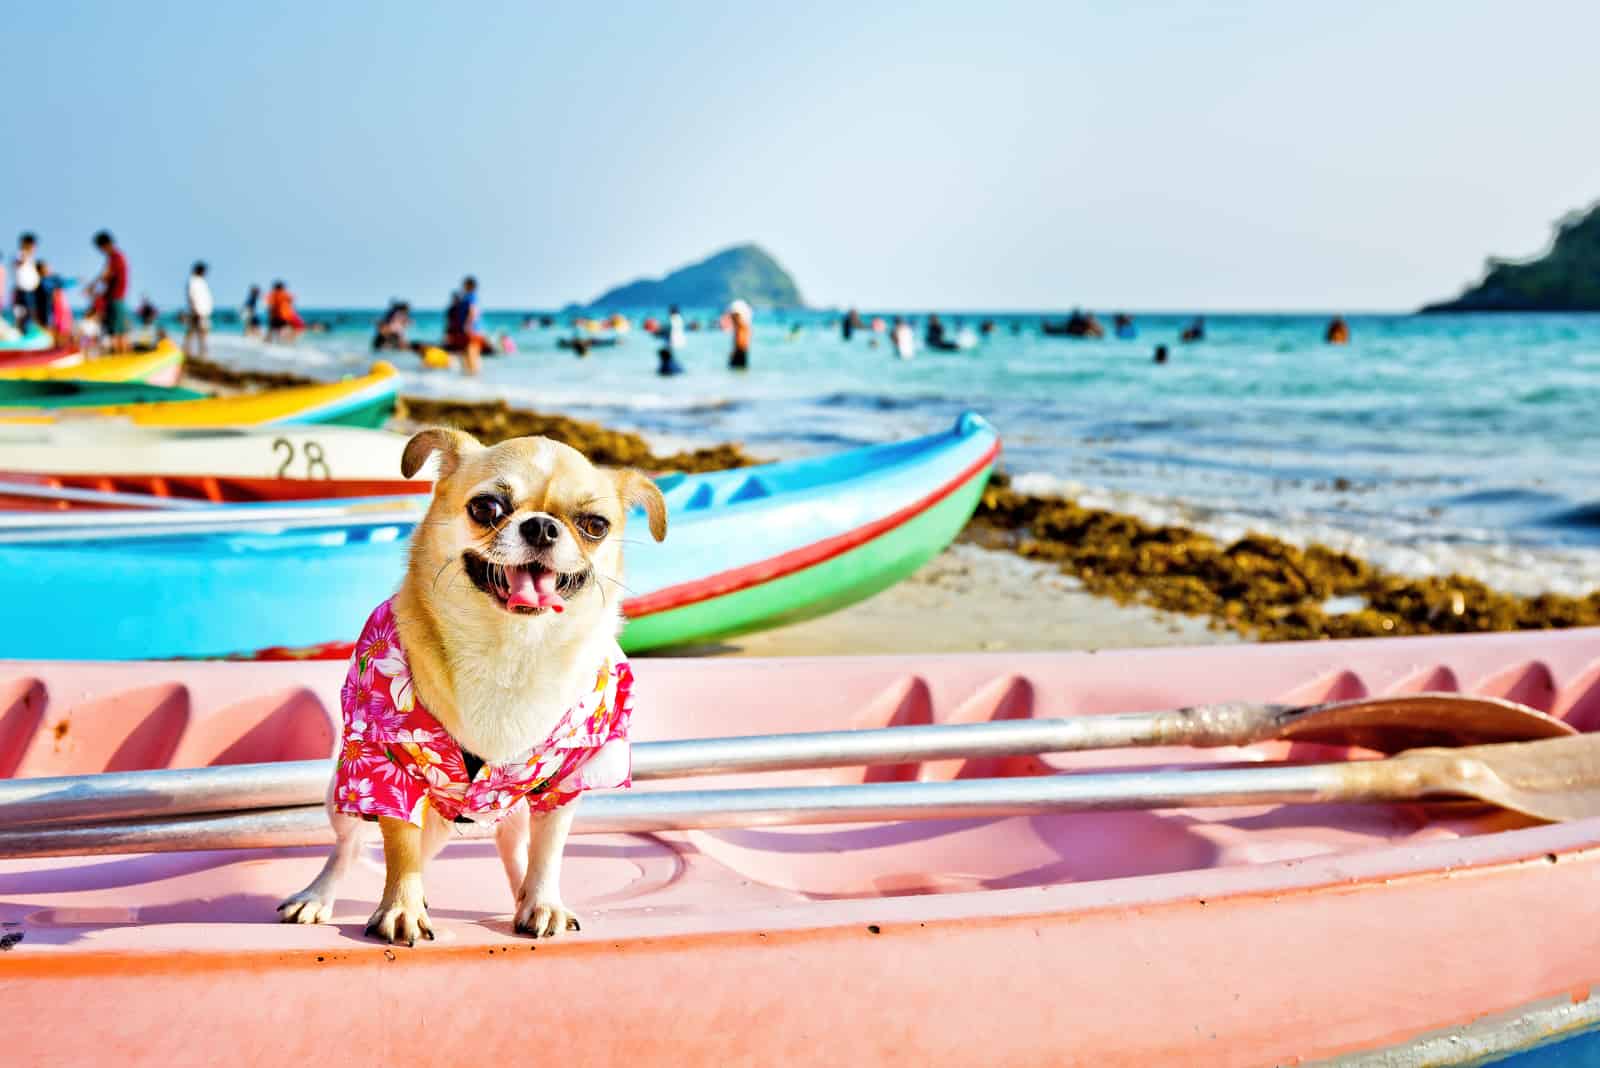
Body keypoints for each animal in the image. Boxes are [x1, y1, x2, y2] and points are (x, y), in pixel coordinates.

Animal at [278, 425, 665, 940]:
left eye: (595, 525)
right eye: (486, 508)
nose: (542, 526)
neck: (512, 648)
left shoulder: (564, 782)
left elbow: (548, 851)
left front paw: (543, 901)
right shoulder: (385, 770)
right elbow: (401, 848)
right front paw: (402, 907)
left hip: (511, 810)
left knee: (514, 848)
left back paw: (524, 897)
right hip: (344, 799)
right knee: (350, 848)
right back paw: (317, 897)